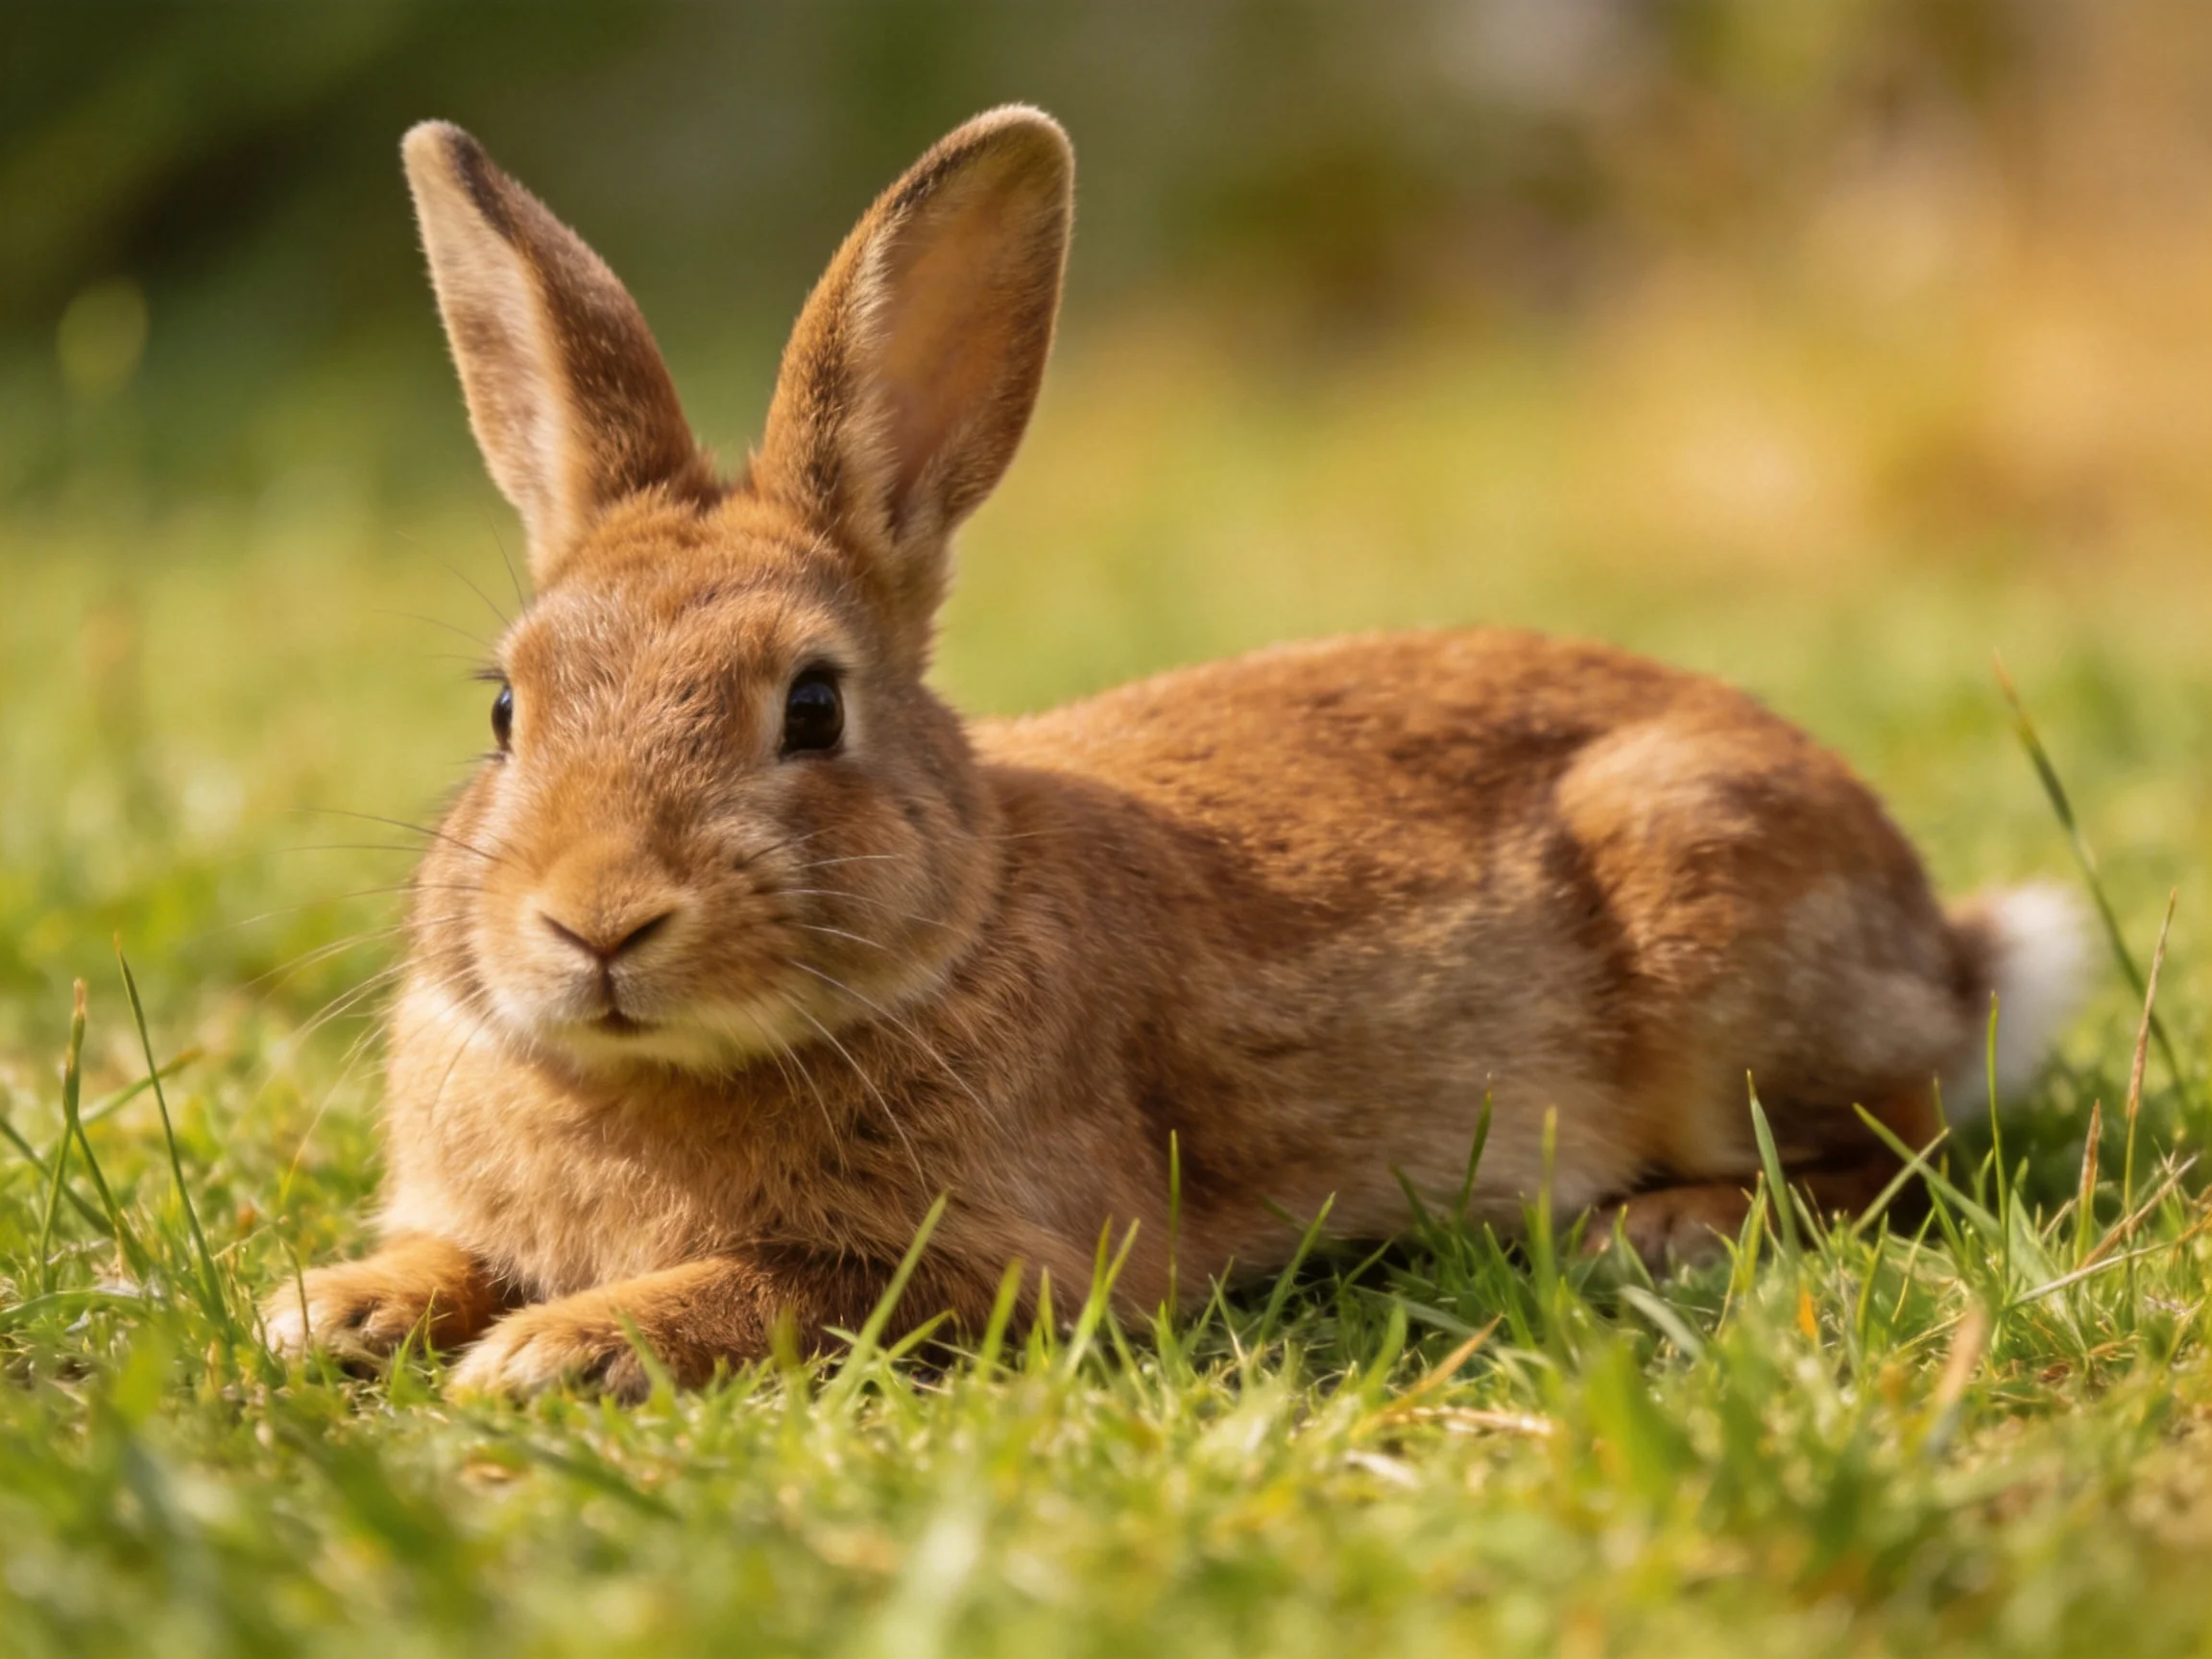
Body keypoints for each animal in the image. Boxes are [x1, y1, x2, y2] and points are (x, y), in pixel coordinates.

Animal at [261, 107, 2090, 1399]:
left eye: (812, 707)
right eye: (505, 710)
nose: (595, 922)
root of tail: (1942, 944)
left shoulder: (1011, 1257)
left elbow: (784, 1288)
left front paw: (564, 1347)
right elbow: (441, 1259)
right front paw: (329, 1308)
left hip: (1710, 930)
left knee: (1891, 1151)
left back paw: (1660, 1227)